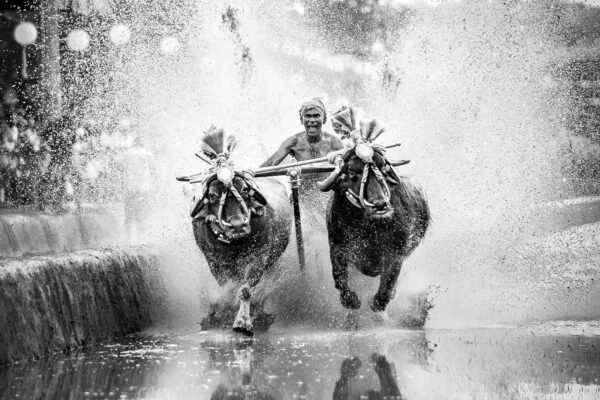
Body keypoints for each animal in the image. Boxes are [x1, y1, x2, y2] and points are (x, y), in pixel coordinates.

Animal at [189, 127, 290, 334]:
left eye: (244, 189)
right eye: (212, 195)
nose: (237, 225)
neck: (235, 241)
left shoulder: (259, 255)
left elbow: (244, 289)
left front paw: (243, 321)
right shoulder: (216, 261)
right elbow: (228, 288)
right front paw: (216, 315)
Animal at [316, 122, 428, 318]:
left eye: (383, 167)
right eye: (351, 171)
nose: (379, 205)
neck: (367, 228)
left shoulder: (395, 254)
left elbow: (387, 286)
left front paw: (377, 304)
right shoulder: (337, 246)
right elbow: (339, 278)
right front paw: (352, 301)